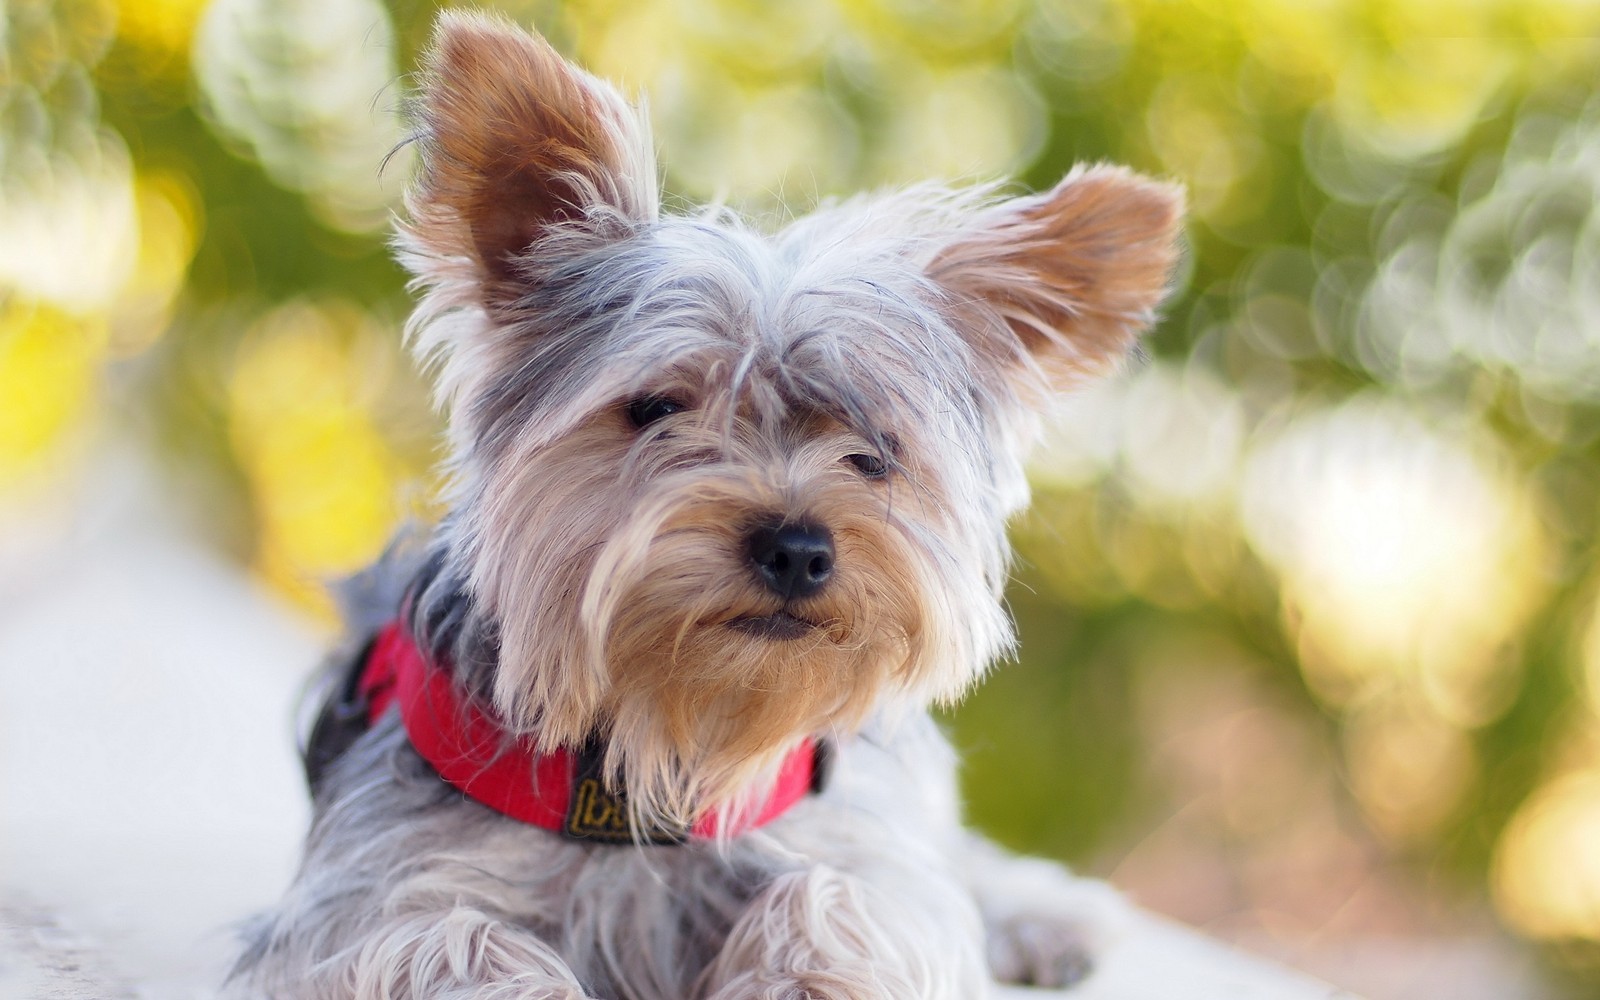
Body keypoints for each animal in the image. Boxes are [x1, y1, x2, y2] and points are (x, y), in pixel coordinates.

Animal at [225, 11, 1184, 992]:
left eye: (874, 453)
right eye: (657, 410)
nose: (798, 548)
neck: (672, 755)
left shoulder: (859, 841)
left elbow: (847, 895)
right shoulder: (365, 890)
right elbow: (444, 937)